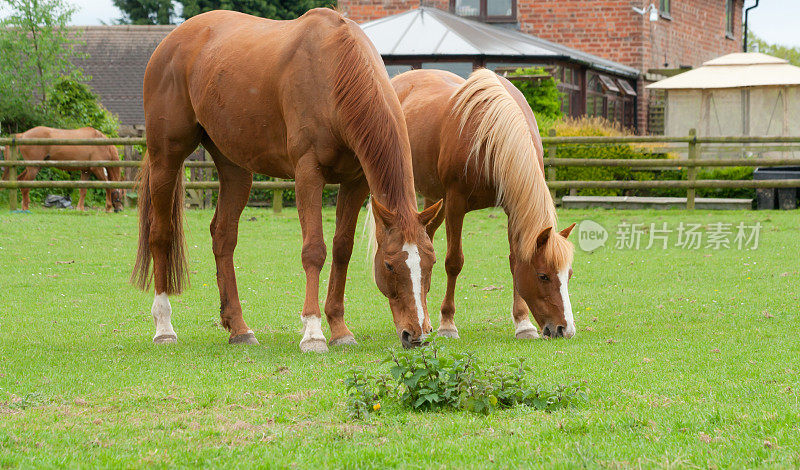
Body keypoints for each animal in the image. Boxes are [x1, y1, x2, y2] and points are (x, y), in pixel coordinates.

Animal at [132, 9, 444, 350]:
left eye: (430, 263)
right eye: (389, 264)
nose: (416, 333)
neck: (334, 70)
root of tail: (171, 42)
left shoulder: (356, 181)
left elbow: (342, 249)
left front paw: (340, 329)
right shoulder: (308, 173)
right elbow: (314, 250)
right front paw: (313, 332)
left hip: (235, 168)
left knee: (223, 237)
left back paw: (239, 328)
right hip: (166, 158)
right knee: (160, 234)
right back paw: (164, 327)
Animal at [392, 70, 576, 340]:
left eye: (568, 274)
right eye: (543, 276)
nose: (565, 329)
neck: (491, 136)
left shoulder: (512, 208)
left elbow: (514, 260)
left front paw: (523, 323)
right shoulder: (455, 204)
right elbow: (453, 262)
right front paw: (447, 323)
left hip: (434, 201)